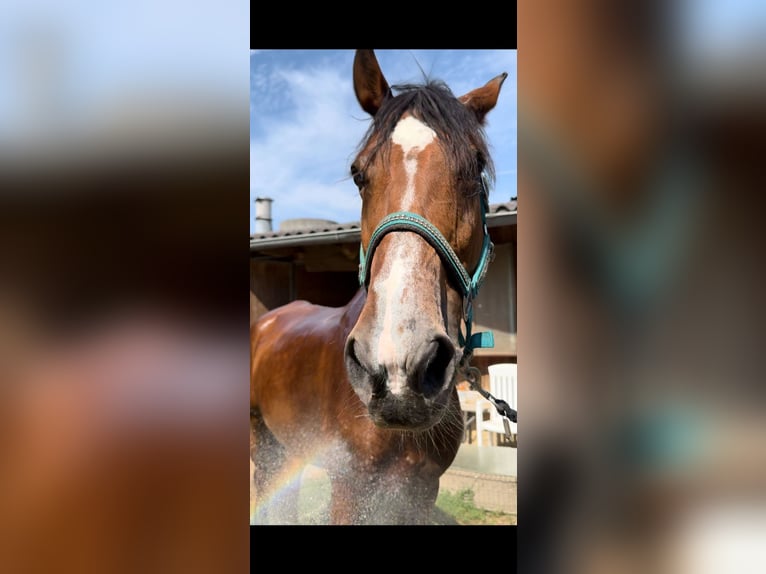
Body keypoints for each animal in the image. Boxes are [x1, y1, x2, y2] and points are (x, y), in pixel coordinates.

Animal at [249, 50, 508, 528]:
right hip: (265, 446)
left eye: (475, 168)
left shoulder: (419, 492)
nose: (398, 365)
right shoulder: (349, 491)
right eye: (358, 174)